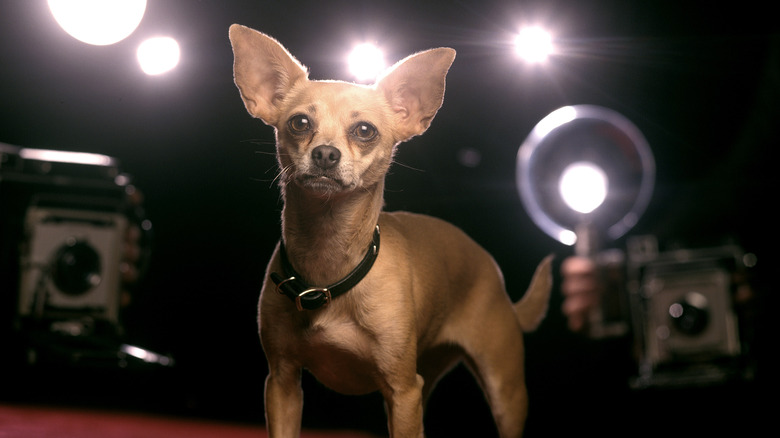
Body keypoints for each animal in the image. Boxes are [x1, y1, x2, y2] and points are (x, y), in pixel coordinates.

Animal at [229, 24, 552, 438]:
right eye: (299, 123)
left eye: (365, 130)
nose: (325, 154)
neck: (329, 256)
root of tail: (497, 278)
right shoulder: (282, 384)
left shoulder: (402, 390)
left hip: (503, 392)